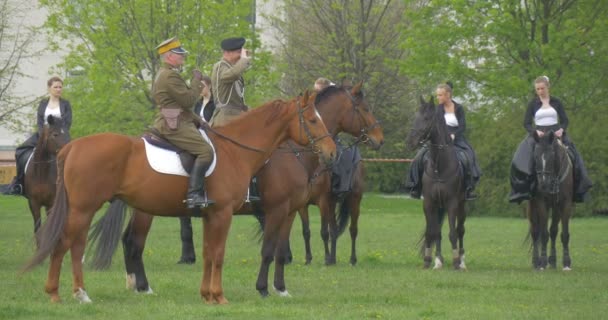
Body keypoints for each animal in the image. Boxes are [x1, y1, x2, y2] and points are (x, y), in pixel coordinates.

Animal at [22, 91, 338, 304]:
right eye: (312, 120)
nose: (333, 153)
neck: (235, 150)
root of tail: (71, 147)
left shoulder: (217, 214)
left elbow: (210, 253)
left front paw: (208, 295)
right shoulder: (236, 213)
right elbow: (225, 253)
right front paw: (226, 295)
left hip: (88, 210)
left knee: (77, 246)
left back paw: (82, 293)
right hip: (84, 209)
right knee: (67, 244)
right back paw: (59, 293)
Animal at [406, 95, 468, 270]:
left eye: (427, 118)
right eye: (416, 116)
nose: (410, 142)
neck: (439, 167)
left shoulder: (452, 203)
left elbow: (453, 233)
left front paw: (455, 262)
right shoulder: (429, 202)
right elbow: (432, 233)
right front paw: (429, 260)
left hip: (462, 205)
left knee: (460, 230)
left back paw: (462, 261)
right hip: (440, 206)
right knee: (438, 231)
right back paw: (439, 260)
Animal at [528, 130, 572, 270]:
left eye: (552, 157)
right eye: (535, 157)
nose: (543, 184)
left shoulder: (565, 204)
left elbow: (563, 234)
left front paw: (566, 262)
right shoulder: (542, 203)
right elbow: (543, 234)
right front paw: (542, 262)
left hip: (556, 208)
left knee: (553, 231)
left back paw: (552, 261)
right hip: (532, 206)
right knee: (535, 231)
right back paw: (536, 261)